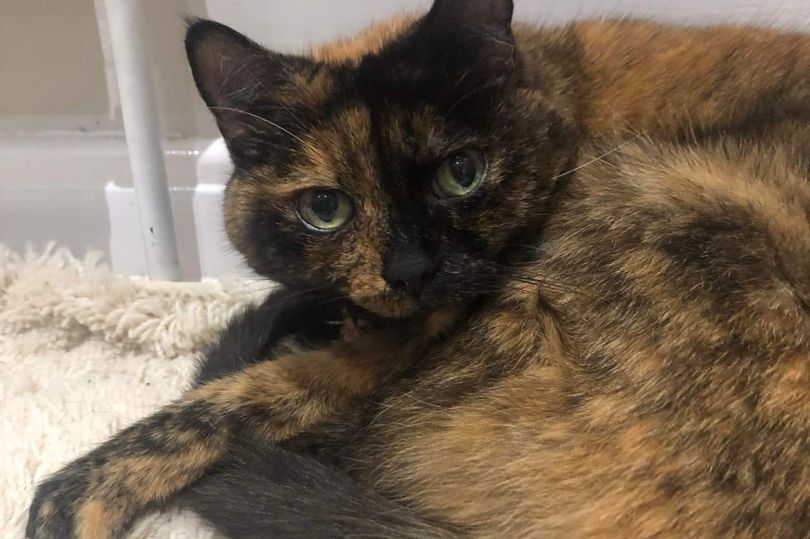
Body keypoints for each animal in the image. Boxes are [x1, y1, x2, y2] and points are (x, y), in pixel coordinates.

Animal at [27, 0, 810, 537]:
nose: (409, 270)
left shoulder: (401, 344)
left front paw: (72, 498)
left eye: (462, 172)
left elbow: (232, 401)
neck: (558, 82)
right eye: (325, 208)